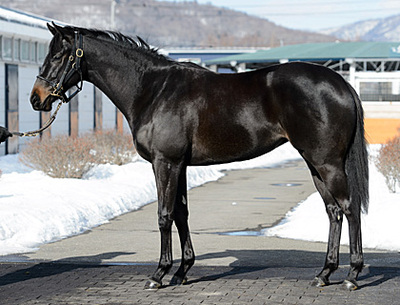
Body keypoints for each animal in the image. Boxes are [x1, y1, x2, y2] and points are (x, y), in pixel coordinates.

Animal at [30, 23, 368, 290]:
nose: (37, 98)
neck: (153, 90)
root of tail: (342, 84)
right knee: (333, 211)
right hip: (314, 163)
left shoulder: (165, 163)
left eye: (58, 55)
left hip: (327, 163)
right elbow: (181, 214)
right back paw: (324, 273)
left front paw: (159, 274)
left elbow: (164, 215)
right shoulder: (179, 165)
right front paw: (182, 271)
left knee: (349, 208)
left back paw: (352, 274)